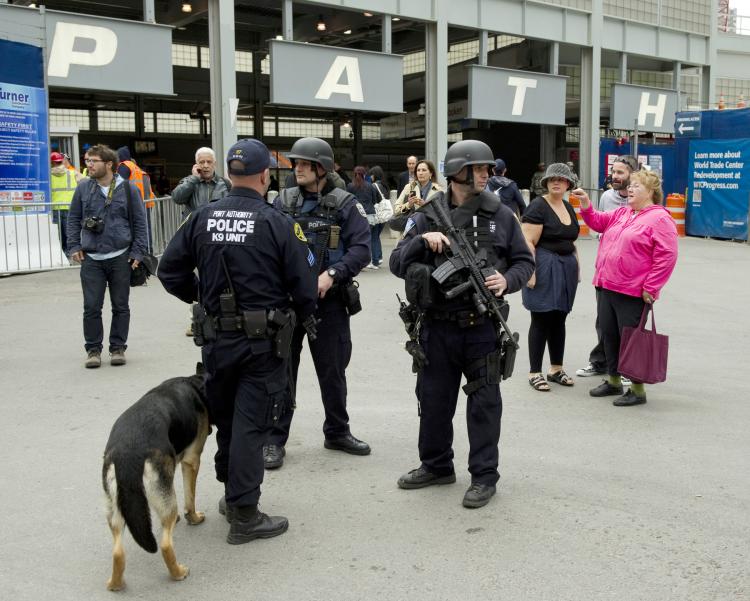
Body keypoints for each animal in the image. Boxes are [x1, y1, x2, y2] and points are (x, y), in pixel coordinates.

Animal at [103, 364, 212, 588]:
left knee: (118, 552)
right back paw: (178, 572)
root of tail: (127, 452)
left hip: (115, 511)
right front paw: (193, 518)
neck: (193, 382)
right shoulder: (191, 462)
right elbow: (190, 499)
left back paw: (115, 584)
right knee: (165, 545)